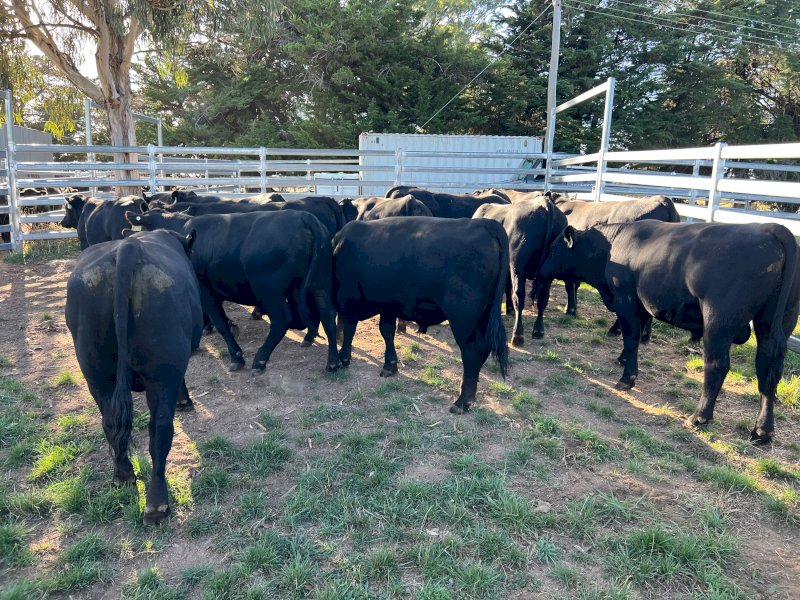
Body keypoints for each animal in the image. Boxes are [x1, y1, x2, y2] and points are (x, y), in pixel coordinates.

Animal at [65, 230, 203, 524]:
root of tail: (128, 247)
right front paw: (185, 401)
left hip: (97, 373)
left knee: (109, 421)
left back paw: (123, 476)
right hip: (162, 372)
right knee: (160, 430)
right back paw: (156, 504)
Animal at [126, 209, 341, 373]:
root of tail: (306, 218)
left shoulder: (205, 291)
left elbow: (220, 323)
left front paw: (236, 357)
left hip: (269, 289)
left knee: (281, 320)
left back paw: (260, 360)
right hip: (320, 283)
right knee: (328, 315)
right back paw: (332, 362)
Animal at [332, 217, 509, 414]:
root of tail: (485, 222)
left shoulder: (349, 299)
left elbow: (350, 328)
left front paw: (344, 357)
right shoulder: (388, 305)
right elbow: (386, 332)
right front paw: (390, 366)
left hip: (463, 319)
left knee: (472, 351)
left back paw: (462, 402)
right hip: (484, 315)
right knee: (483, 349)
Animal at [473, 196, 567, 345]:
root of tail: (545, 203)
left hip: (518, 266)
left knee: (519, 296)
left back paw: (517, 335)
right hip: (548, 272)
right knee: (543, 298)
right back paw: (538, 330)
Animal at [539, 221, 800, 443]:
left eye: (554, 250)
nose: (540, 270)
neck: (612, 246)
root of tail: (770, 228)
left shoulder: (626, 302)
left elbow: (631, 337)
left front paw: (626, 378)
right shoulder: (642, 306)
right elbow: (634, 338)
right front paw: (623, 360)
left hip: (718, 322)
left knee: (717, 366)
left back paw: (700, 417)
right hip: (773, 324)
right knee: (768, 370)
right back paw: (762, 431)